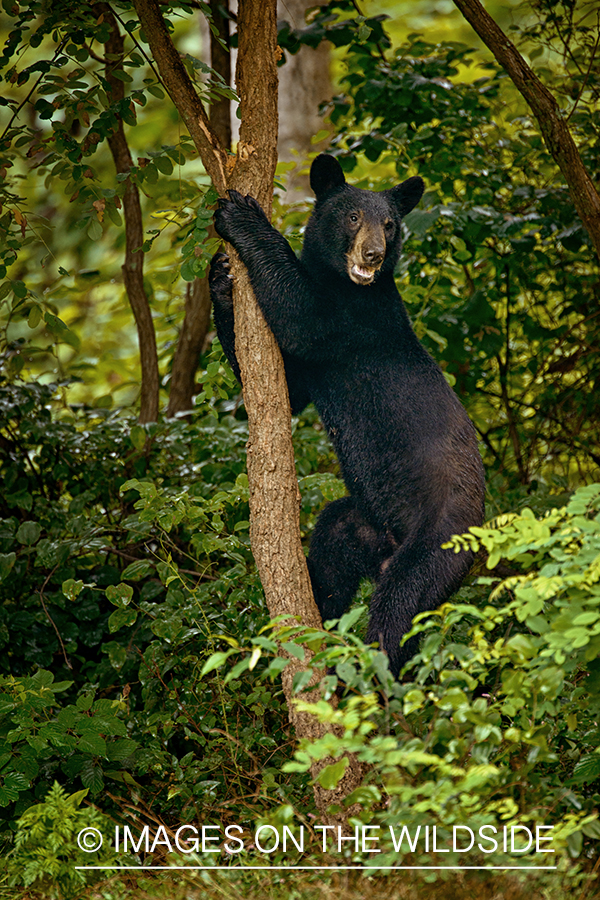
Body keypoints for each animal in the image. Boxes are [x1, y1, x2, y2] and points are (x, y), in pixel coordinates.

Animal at [209, 153, 486, 676]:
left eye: (390, 224)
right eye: (354, 216)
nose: (374, 254)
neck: (346, 281)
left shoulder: (354, 319)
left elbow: (301, 313)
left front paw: (241, 216)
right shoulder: (318, 363)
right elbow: (288, 386)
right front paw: (219, 278)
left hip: (438, 544)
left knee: (398, 611)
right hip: (365, 528)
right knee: (333, 543)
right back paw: (314, 612)